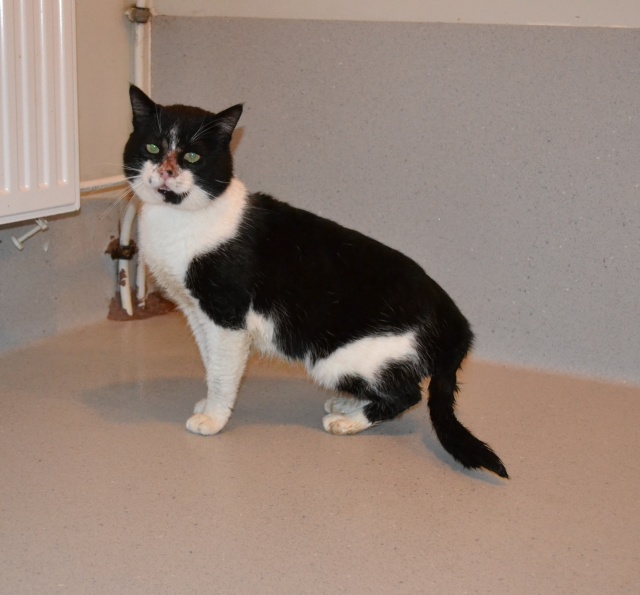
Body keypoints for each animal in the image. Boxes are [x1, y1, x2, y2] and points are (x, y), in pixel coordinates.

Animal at [123, 85, 508, 479]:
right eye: (152, 148)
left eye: (192, 156)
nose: (167, 171)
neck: (179, 220)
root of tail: (453, 317)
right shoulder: (196, 313)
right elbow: (210, 360)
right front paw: (210, 405)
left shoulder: (226, 316)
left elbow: (222, 370)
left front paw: (214, 419)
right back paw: (347, 406)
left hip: (342, 357)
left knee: (408, 393)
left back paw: (350, 421)